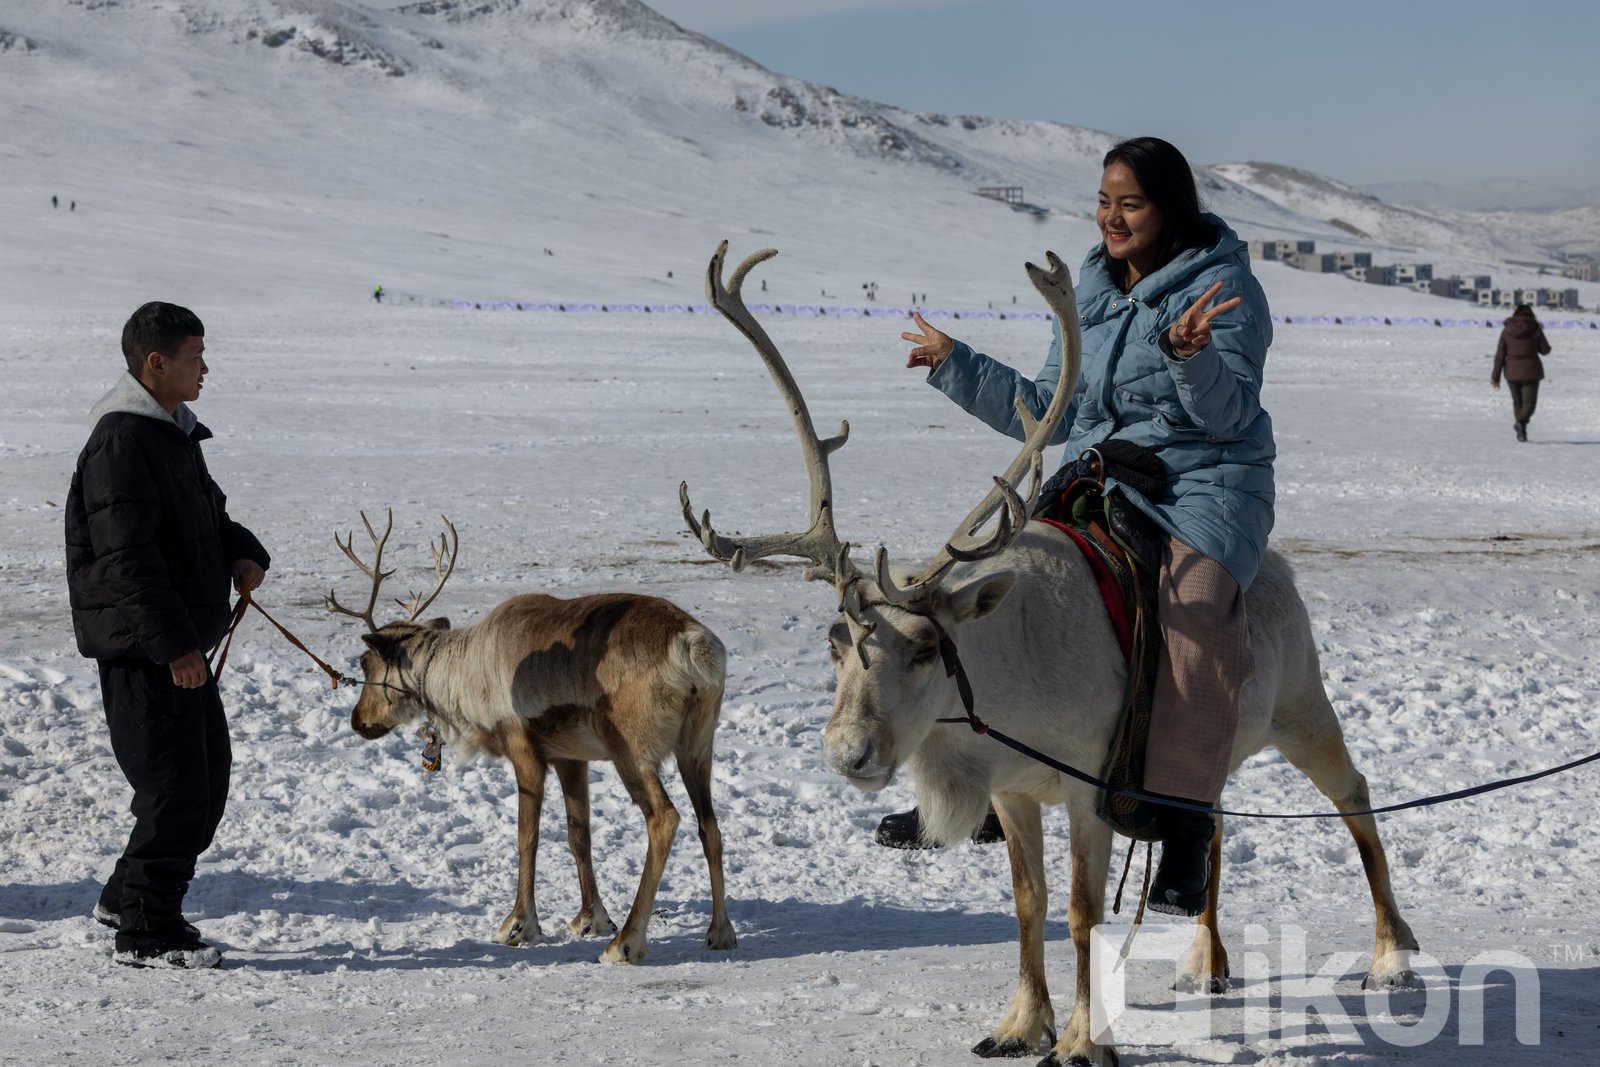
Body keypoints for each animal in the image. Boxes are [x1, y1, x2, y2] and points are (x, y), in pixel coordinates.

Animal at [328, 510, 736, 964]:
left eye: (365, 661)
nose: (356, 720)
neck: (463, 677)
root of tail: (693, 645)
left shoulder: (523, 746)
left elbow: (528, 836)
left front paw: (519, 923)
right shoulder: (570, 756)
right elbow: (579, 835)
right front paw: (590, 919)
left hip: (632, 748)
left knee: (664, 818)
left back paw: (626, 942)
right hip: (697, 745)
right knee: (710, 826)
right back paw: (720, 931)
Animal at [680, 242, 1419, 1065]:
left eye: (928, 646)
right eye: (836, 642)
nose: (849, 752)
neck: (1008, 686)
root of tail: (1279, 569)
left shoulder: (1093, 784)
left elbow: (1080, 911)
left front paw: (1081, 1040)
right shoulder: (1013, 790)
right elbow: (1027, 903)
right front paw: (1019, 1023)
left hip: (1302, 708)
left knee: (1356, 795)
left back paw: (1390, 955)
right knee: (1216, 821)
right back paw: (1205, 959)